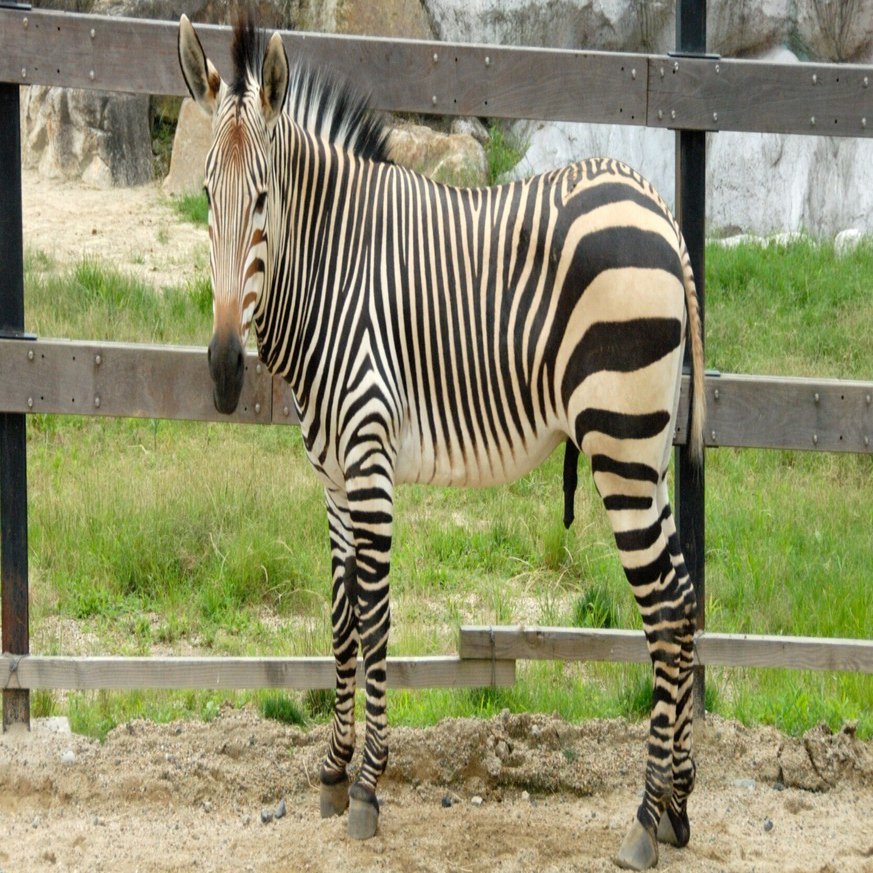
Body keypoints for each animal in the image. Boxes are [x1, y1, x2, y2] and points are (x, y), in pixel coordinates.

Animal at [178, 15, 705, 871]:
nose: (224, 371)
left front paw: (367, 787)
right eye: (202, 195)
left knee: (662, 609)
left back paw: (642, 818)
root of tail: (658, 206)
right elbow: (338, 618)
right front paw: (332, 770)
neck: (330, 268)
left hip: (620, 445)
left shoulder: (368, 457)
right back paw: (678, 809)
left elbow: (375, 616)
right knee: (685, 603)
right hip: (649, 452)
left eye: (262, 198)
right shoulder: (331, 475)